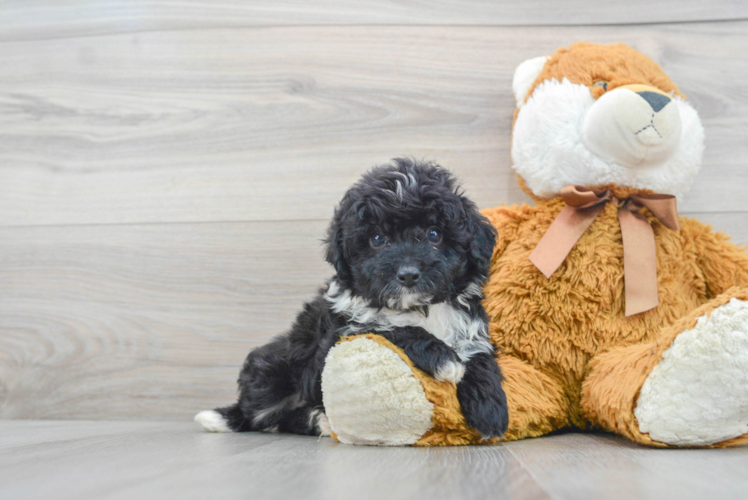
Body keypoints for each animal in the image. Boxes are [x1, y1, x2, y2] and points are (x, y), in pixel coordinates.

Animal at [194, 158, 508, 440]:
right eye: (377, 239)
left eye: (434, 234)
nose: (407, 274)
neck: (419, 307)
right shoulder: (347, 330)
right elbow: (394, 328)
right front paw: (444, 359)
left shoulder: (469, 327)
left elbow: (479, 356)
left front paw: (490, 410)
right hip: (272, 369)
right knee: (261, 416)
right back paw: (307, 419)